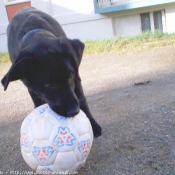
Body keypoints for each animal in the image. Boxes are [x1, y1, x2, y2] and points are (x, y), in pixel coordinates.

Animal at [1, 7, 101, 137]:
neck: (34, 31)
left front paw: (92, 125)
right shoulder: (30, 86)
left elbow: (82, 99)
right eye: (48, 84)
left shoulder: (76, 76)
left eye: (69, 76)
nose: (74, 111)